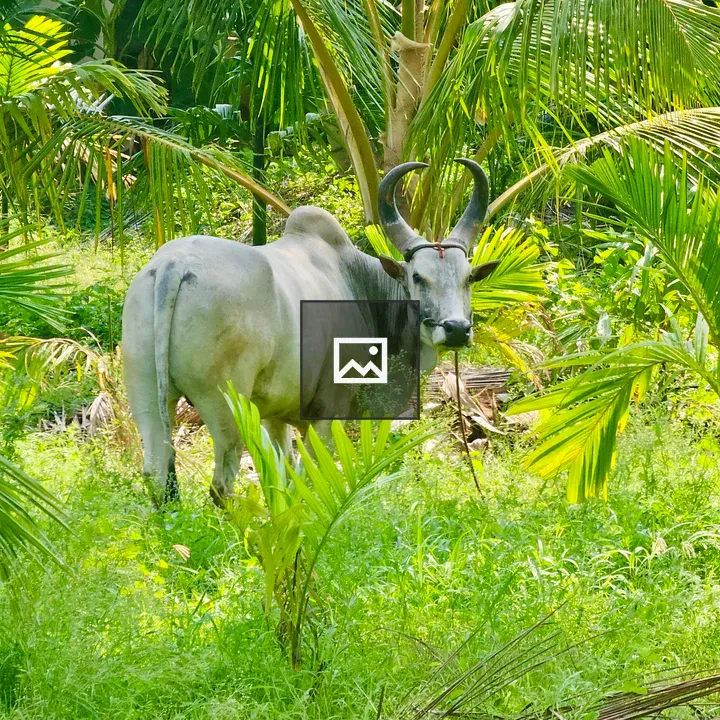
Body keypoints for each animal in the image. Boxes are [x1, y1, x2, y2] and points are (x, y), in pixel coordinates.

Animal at [122, 159, 500, 505]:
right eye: (418, 277)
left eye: (468, 277)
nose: (456, 329)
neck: (359, 284)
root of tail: (174, 265)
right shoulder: (329, 412)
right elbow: (310, 478)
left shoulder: (274, 416)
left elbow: (282, 479)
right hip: (225, 405)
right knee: (221, 487)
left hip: (146, 393)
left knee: (157, 472)